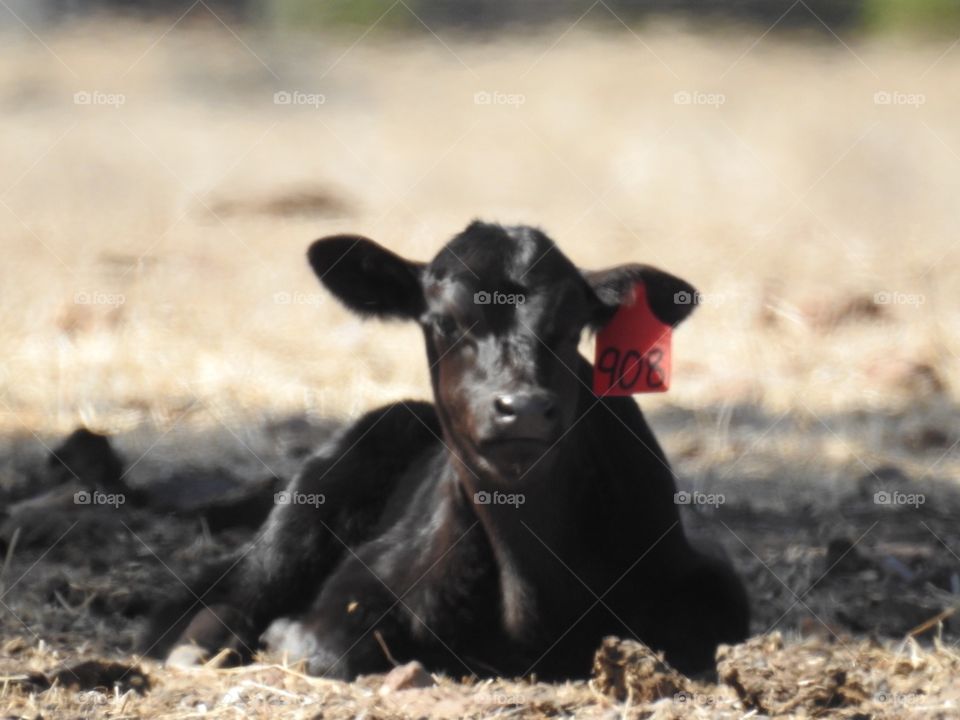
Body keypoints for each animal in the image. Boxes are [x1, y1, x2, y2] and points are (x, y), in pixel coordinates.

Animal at [145, 220, 749, 680]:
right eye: (444, 322)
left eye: (572, 324)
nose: (522, 407)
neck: (529, 599)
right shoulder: (362, 580)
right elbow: (325, 648)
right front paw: (283, 638)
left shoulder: (705, 582)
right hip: (307, 503)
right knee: (234, 589)